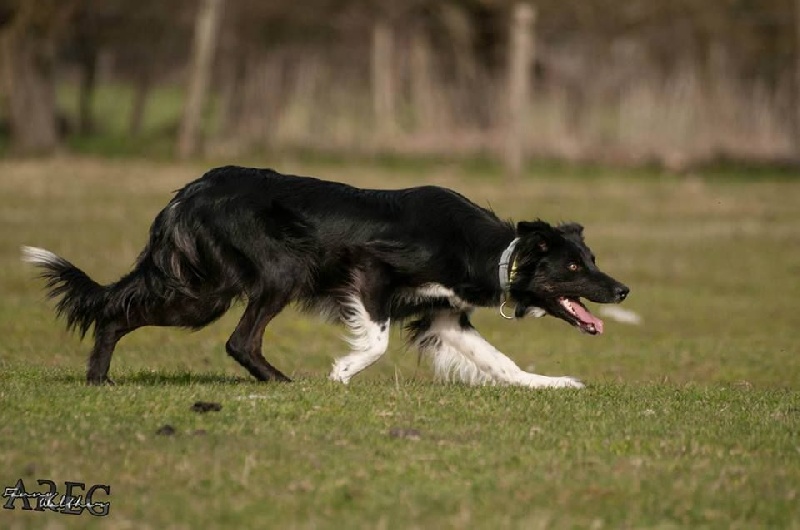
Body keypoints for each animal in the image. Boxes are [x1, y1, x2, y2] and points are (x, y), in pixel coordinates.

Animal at [21, 167, 628, 386]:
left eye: (592, 258)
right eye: (575, 267)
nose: (622, 290)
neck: (493, 249)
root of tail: (191, 190)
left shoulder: (444, 317)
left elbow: (502, 362)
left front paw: (552, 385)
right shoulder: (371, 272)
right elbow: (377, 341)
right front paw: (342, 373)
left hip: (209, 288)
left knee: (121, 315)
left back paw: (99, 380)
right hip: (260, 277)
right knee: (234, 339)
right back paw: (285, 384)